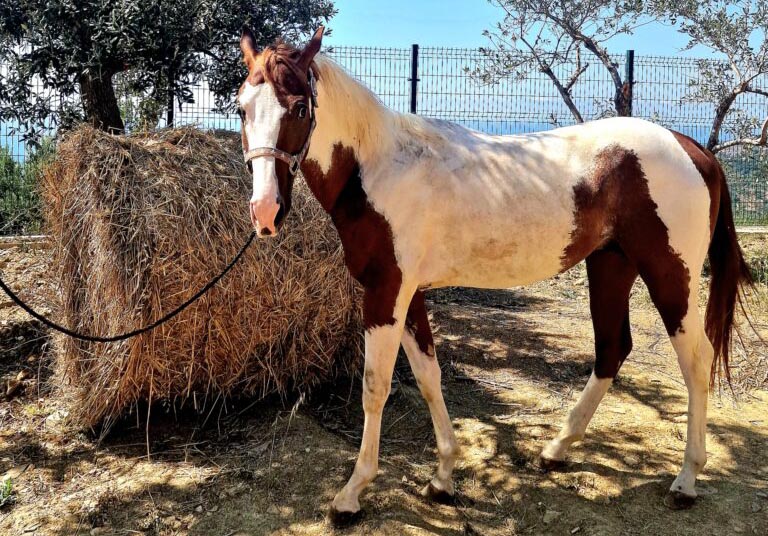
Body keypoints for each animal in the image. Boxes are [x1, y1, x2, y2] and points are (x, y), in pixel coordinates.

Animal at [234, 27, 752, 524]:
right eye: (242, 107)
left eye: (300, 107)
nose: (266, 212)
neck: (378, 168)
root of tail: (692, 148)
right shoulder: (409, 294)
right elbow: (428, 376)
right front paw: (443, 476)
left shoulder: (386, 293)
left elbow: (375, 386)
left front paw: (351, 495)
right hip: (610, 265)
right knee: (612, 350)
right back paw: (556, 449)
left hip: (670, 276)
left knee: (696, 361)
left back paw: (685, 480)